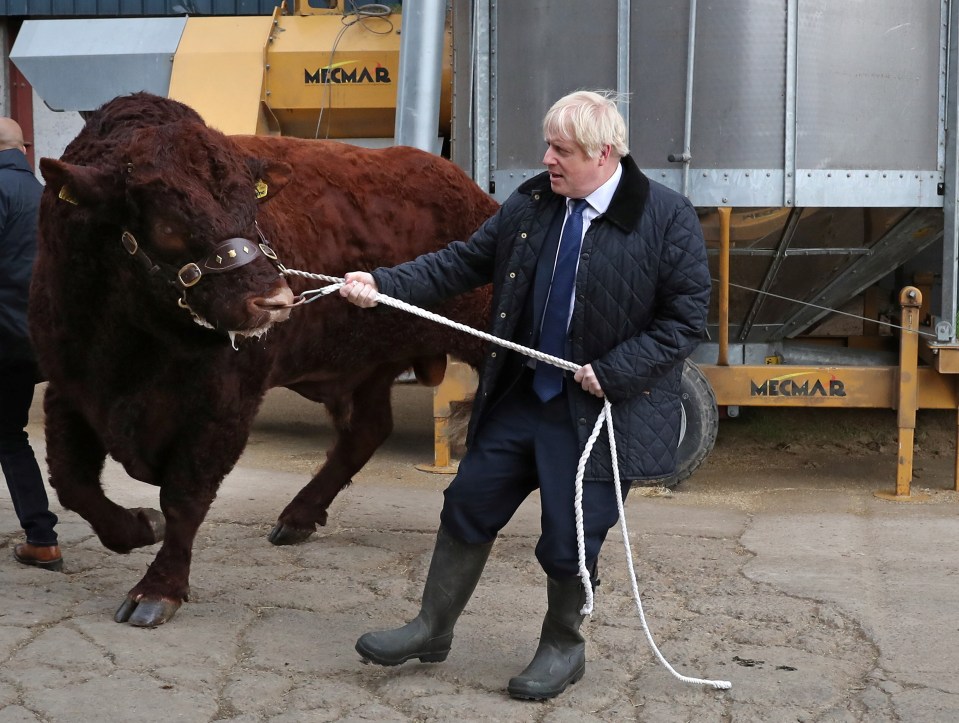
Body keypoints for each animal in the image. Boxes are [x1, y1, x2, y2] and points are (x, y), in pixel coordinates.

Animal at [31, 93, 496, 628]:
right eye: (167, 223)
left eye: (252, 209)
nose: (274, 301)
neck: (132, 344)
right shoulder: (69, 387)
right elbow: (72, 482)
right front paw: (138, 526)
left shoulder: (225, 404)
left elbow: (184, 495)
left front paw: (157, 589)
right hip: (366, 367)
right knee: (367, 430)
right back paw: (297, 517)